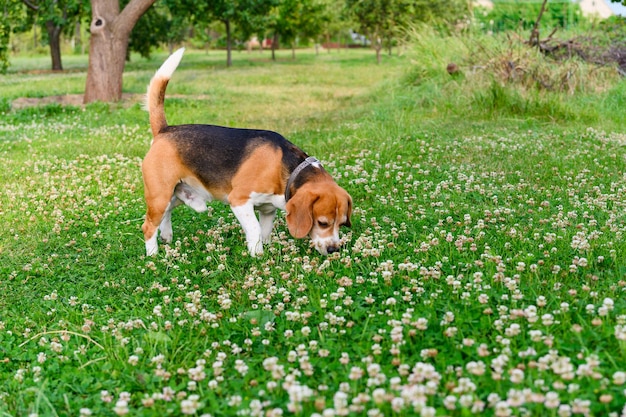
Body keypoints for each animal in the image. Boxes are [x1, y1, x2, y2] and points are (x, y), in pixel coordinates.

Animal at [140, 48, 352, 256]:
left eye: (342, 223)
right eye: (322, 222)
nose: (334, 249)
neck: (287, 168)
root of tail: (164, 130)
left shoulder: (267, 209)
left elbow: (265, 231)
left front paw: (265, 253)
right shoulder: (240, 201)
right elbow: (255, 229)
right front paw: (257, 256)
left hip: (175, 196)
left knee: (165, 215)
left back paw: (166, 237)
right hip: (159, 196)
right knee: (148, 226)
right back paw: (153, 254)